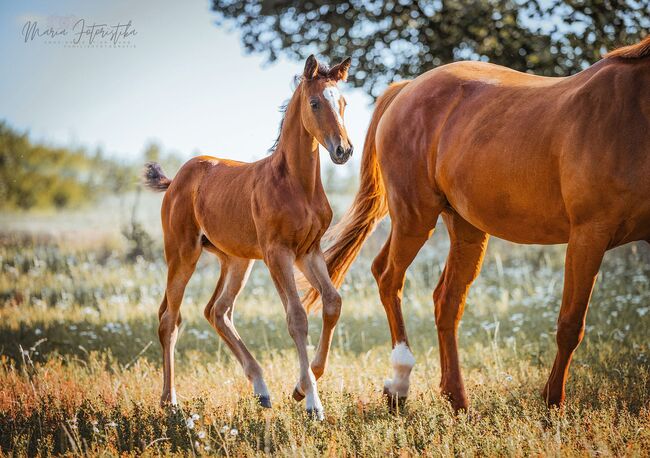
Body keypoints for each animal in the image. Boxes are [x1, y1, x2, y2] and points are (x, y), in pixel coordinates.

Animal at [144, 55, 352, 420]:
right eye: (314, 103)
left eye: (342, 103)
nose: (343, 150)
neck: (296, 184)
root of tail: (177, 179)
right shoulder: (277, 253)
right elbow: (297, 317)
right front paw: (312, 402)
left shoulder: (308, 251)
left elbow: (332, 302)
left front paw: (300, 388)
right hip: (182, 253)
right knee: (170, 318)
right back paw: (170, 401)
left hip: (237, 260)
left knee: (217, 311)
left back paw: (262, 390)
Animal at [302, 37, 648, 412]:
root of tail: (407, 88)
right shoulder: (589, 234)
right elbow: (570, 325)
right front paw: (552, 403)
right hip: (415, 218)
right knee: (388, 276)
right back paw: (399, 385)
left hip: (465, 227)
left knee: (447, 301)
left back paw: (456, 398)